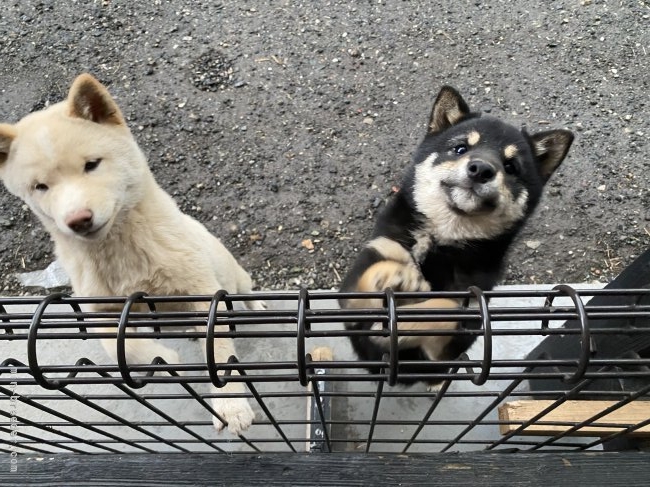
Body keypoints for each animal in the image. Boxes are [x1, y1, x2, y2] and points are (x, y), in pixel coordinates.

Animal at [340, 85, 572, 388]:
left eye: (511, 166)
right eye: (460, 148)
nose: (481, 168)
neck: (443, 239)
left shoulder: (458, 333)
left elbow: (446, 308)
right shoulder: (353, 295)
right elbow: (370, 276)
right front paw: (394, 275)